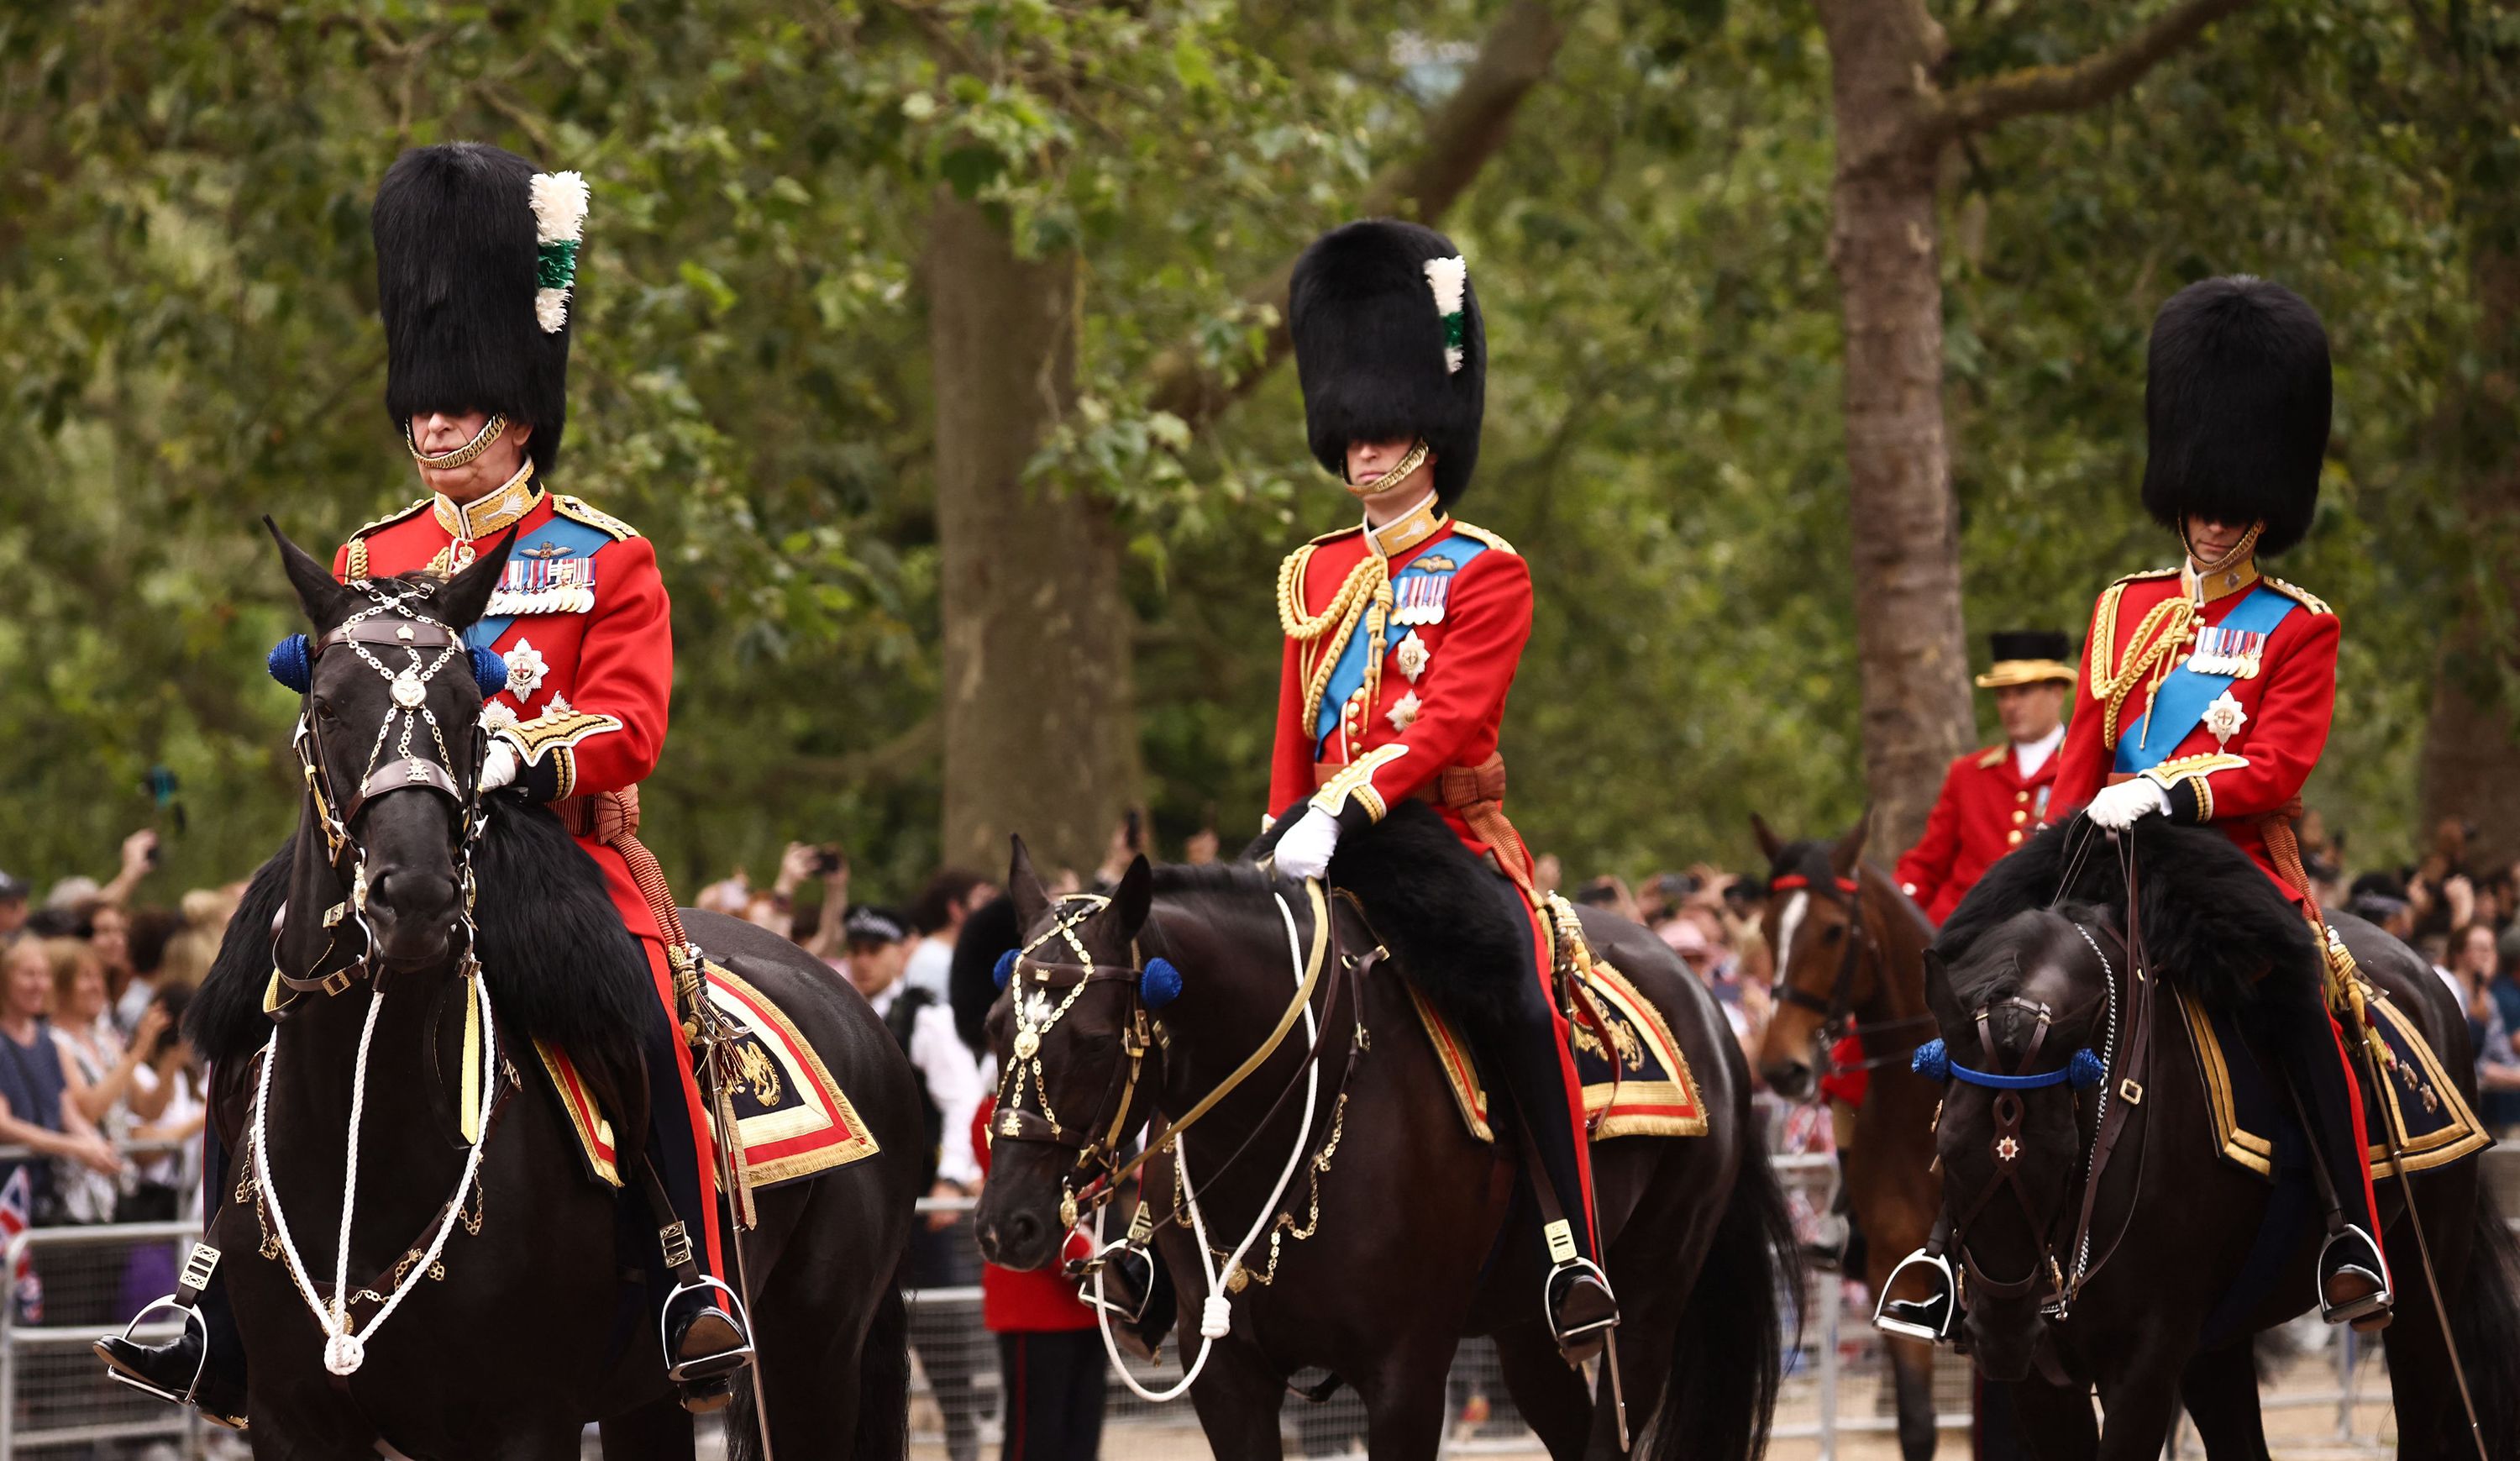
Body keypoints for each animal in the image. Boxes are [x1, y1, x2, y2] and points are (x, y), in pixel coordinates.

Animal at [172, 531, 932, 1451]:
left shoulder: (523, 1421)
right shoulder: (291, 1420)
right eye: (324, 704)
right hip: (650, 1391)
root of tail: (854, 1000)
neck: (367, 1143)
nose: (416, 897)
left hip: (811, 1355)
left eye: (472, 709)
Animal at [963, 811, 1794, 1461]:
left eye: (1096, 1042)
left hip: (1648, 1309)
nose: (1006, 1225)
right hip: (1525, 1327)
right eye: (995, 1026)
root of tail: (1699, 994)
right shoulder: (1230, 1380)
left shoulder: (1406, 1376)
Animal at [1905, 821, 2520, 1461]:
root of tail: (2423, 973)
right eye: (1946, 1149)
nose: (2002, 1335)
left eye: (2066, 1153)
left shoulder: (2146, 1362)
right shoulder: (2045, 1381)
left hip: (2425, 1293)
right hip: (2216, 1341)